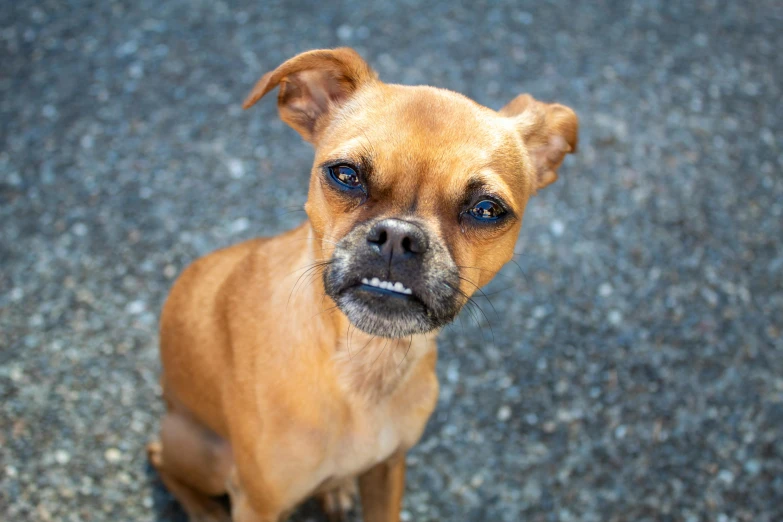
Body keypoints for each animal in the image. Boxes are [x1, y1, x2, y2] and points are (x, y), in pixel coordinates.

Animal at [149, 48, 576, 520]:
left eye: (486, 209)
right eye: (346, 174)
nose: (398, 236)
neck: (366, 364)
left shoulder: (388, 469)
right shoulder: (256, 503)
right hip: (205, 454)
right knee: (158, 457)